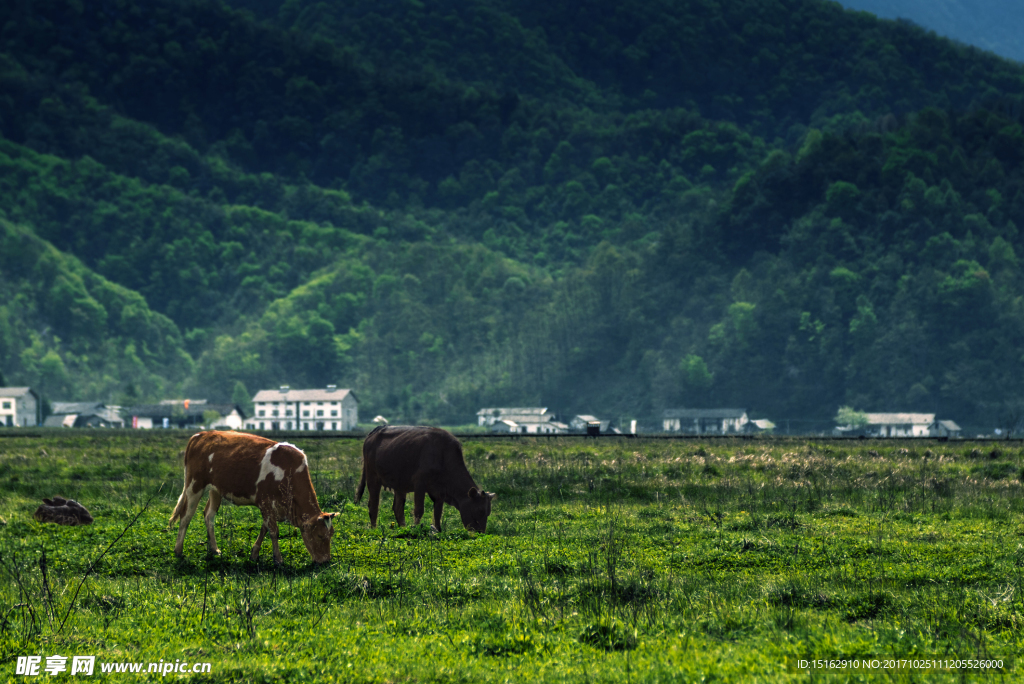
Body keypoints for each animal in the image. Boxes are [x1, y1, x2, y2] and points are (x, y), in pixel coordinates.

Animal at [167, 430, 335, 565]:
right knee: (186, 516)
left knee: (209, 516)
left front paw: (254, 554)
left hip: (215, 490)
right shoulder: (265, 501)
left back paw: (214, 549)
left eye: (331, 534)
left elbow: (264, 528)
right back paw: (178, 550)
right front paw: (278, 559)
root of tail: (201, 435)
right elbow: (273, 531)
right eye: (320, 536)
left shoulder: (269, 507)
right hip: (194, 485)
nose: (326, 561)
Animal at [356, 423, 495, 532]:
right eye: (479, 510)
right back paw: (374, 529)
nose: (480, 532)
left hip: (400, 485)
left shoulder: (439, 492)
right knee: (373, 505)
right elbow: (419, 510)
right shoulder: (420, 484)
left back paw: (403, 528)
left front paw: (438, 530)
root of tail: (375, 432)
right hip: (373, 479)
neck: (443, 455)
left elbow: (438, 512)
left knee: (397, 508)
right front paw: (416, 528)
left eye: (488, 512)